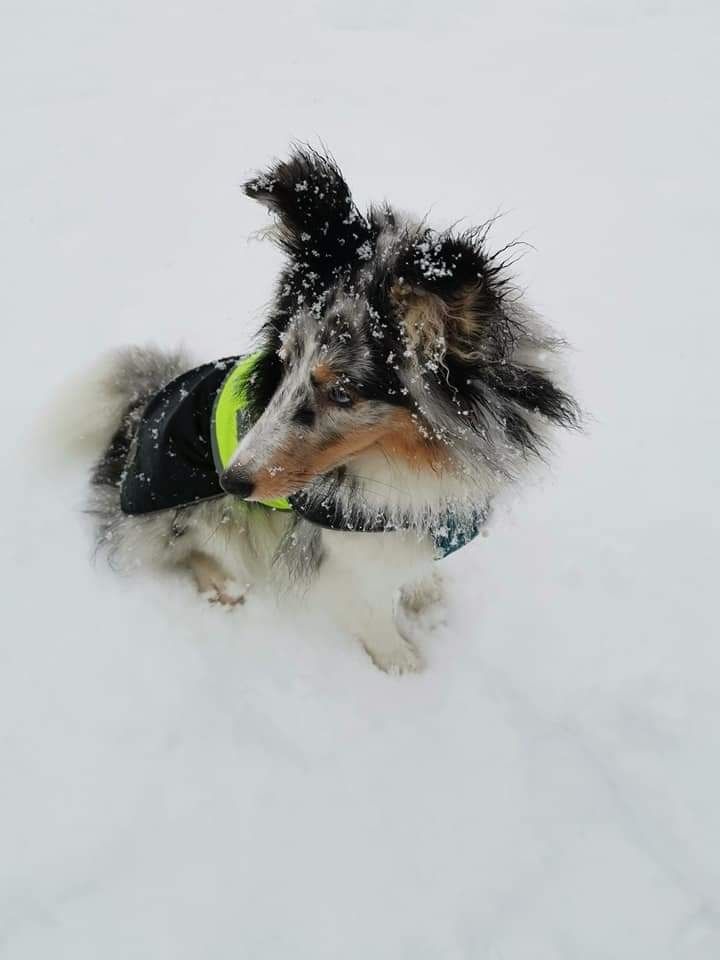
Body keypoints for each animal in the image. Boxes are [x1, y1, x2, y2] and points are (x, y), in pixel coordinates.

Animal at [77, 148, 580, 676]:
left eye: (341, 393)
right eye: (284, 362)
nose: (230, 481)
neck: (414, 460)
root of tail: (135, 417)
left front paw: (427, 599)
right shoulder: (336, 552)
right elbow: (370, 611)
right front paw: (402, 665)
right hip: (191, 518)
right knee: (181, 552)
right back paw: (223, 587)